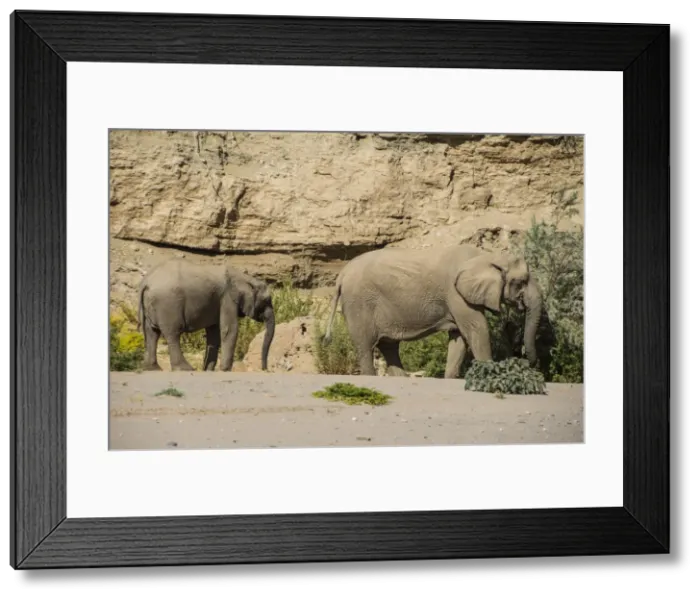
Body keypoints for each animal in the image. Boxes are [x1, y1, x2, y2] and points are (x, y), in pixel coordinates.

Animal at [136, 259, 276, 372]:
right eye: (266, 300)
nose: (264, 369)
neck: (245, 278)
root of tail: (146, 282)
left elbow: (214, 334)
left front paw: (208, 369)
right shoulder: (227, 298)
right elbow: (229, 330)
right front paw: (225, 370)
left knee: (152, 333)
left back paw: (152, 369)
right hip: (168, 304)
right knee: (172, 334)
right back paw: (185, 369)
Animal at [322, 244, 543, 378]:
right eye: (521, 281)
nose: (526, 359)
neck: (487, 256)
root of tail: (342, 274)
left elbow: (459, 338)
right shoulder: (455, 294)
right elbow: (477, 329)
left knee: (389, 345)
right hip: (359, 303)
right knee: (366, 346)